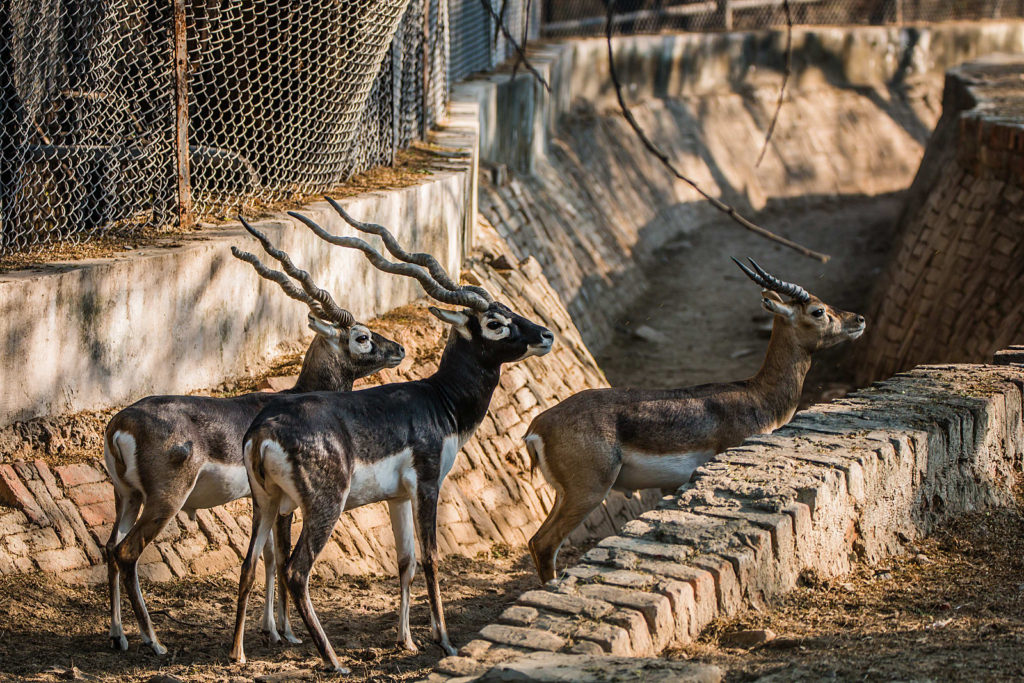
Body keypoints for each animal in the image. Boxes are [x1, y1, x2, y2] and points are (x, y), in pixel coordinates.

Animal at [100, 220, 403, 655]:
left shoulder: (266, 501)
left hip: (126, 497)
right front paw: (288, 632)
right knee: (127, 553)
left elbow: (267, 558)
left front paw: (271, 630)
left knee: (110, 548)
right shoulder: (287, 504)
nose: (398, 349)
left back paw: (118, 635)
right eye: (361, 336)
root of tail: (118, 424)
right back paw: (154, 643)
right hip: (164, 501)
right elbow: (279, 558)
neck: (296, 394)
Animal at [231, 200, 552, 671]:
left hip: (267, 503)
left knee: (251, 562)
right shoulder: (428, 486)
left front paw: (407, 640)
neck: (439, 401)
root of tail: (264, 429)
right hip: (323, 506)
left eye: (510, 310)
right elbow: (433, 557)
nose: (546, 334)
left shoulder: (397, 496)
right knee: (295, 570)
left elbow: (405, 561)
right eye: (495, 322)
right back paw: (333, 659)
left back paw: (238, 652)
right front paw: (443, 640)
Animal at [524, 260, 868, 581]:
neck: (757, 395)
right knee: (544, 543)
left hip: (565, 494)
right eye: (818, 311)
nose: (859, 319)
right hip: (589, 491)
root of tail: (536, 427)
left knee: (535, 541)